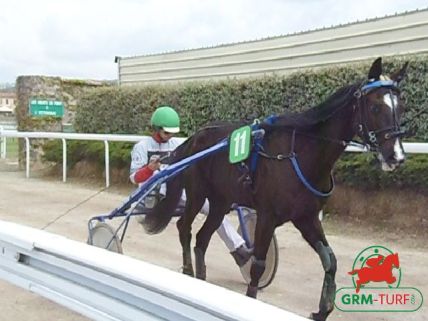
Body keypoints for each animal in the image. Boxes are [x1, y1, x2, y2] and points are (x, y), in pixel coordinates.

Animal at [143, 58, 408, 320]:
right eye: (375, 107)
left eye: (400, 107)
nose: (396, 156)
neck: (300, 155)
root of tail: (194, 138)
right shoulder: (267, 216)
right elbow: (258, 266)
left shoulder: (306, 217)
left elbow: (330, 260)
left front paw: (322, 310)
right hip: (198, 194)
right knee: (184, 227)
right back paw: (188, 272)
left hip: (221, 201)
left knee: (202, 238)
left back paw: (200, 279)